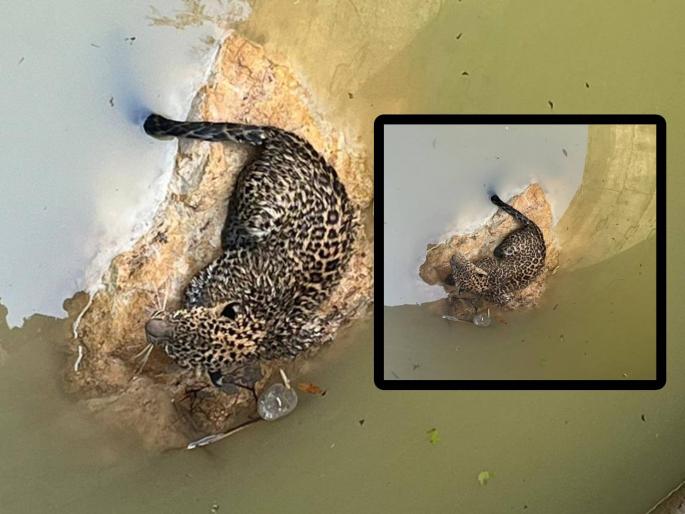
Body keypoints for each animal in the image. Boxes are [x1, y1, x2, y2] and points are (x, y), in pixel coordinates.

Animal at [142, 114, 359, 393]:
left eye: (173, 349)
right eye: (180, 319)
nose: (149, 327)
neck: (260, 326)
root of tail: (290, 143)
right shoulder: (216, 271)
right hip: (263, 212)